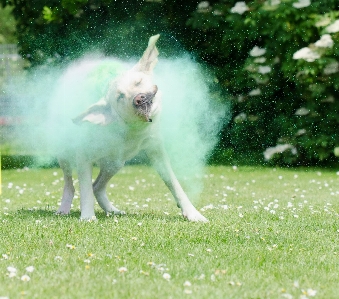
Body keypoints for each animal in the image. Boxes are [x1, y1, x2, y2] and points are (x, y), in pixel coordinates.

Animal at [57, 34, 209, 223]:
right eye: (120, 96)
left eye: (139, 82)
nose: (139, 98)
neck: (129, 133)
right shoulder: (83, 153)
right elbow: (84, 187)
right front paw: (88, 218)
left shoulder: (154, 147)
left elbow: (173, 182)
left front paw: (196, 216)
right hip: (64, 154)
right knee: (70, 183)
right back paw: (63, 210)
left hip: (115, 163)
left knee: (97, 185)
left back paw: (114, 211)